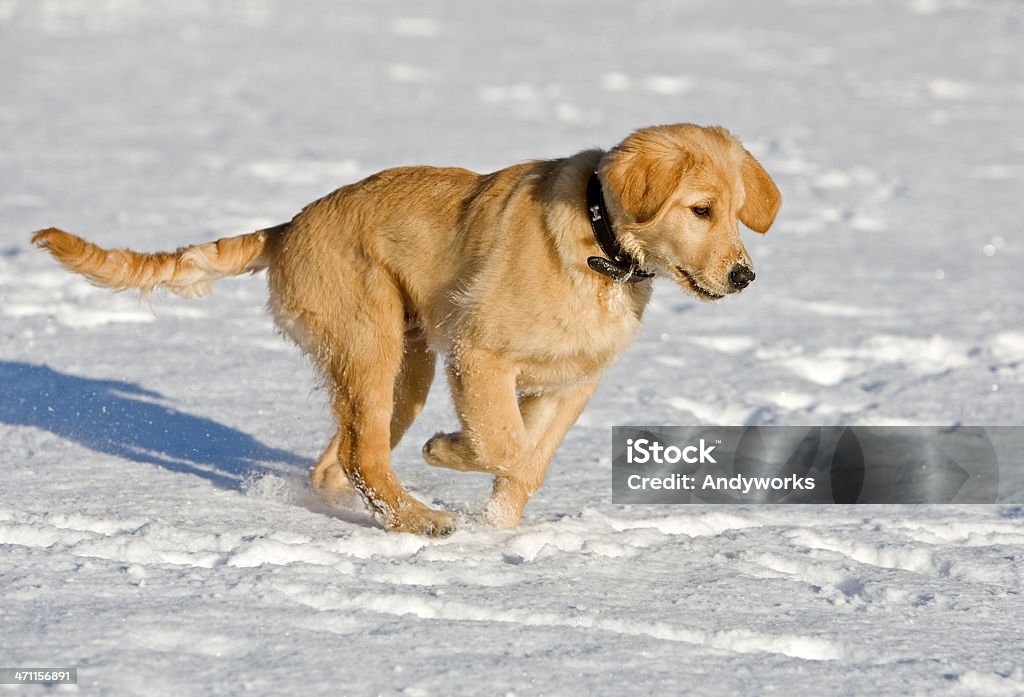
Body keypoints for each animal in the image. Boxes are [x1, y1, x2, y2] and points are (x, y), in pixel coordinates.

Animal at [34, 124, 782, 536]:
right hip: (374, 343)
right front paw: (449, 452)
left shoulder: (572, 383)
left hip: (405, 367)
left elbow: (529, 463)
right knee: (365, 455)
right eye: (701, 209)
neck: (600, 248)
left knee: (342, 459)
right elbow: (505, 443)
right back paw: (420, 518)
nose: (745, 276)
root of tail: (288, 227)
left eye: (737, 210)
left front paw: (501, 529)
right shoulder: (480, 354)